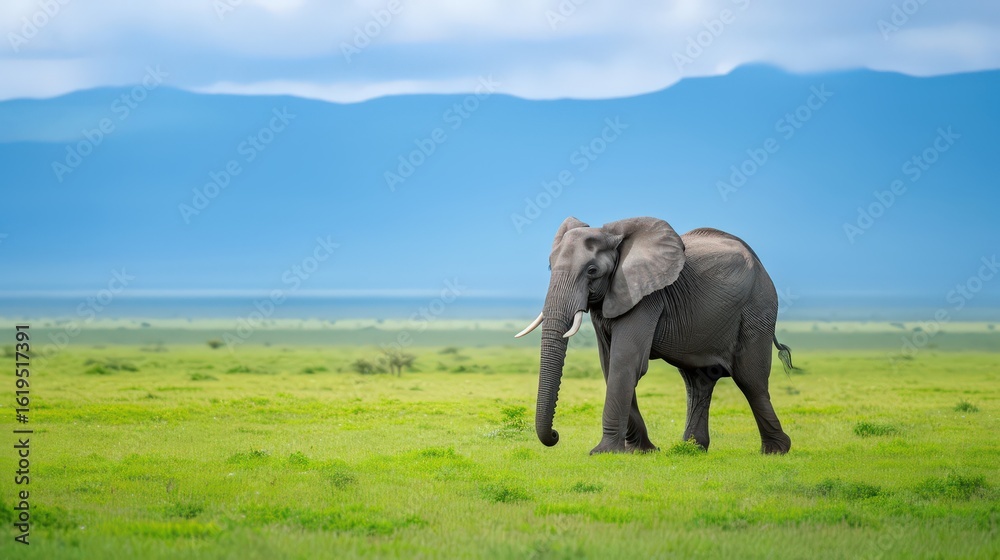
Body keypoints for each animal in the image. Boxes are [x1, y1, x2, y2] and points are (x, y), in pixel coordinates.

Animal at [515, 216, 794, 455]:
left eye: (592, 270)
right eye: (550, 266)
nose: (555, 435)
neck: (614, 236)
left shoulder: (646, 296)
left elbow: (625, 362)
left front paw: (604, 452)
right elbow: (610, 364)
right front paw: (642, 451)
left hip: (758, 308)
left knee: (750, 380)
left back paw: (776, 451)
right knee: (697, 382)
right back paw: (692, 449)